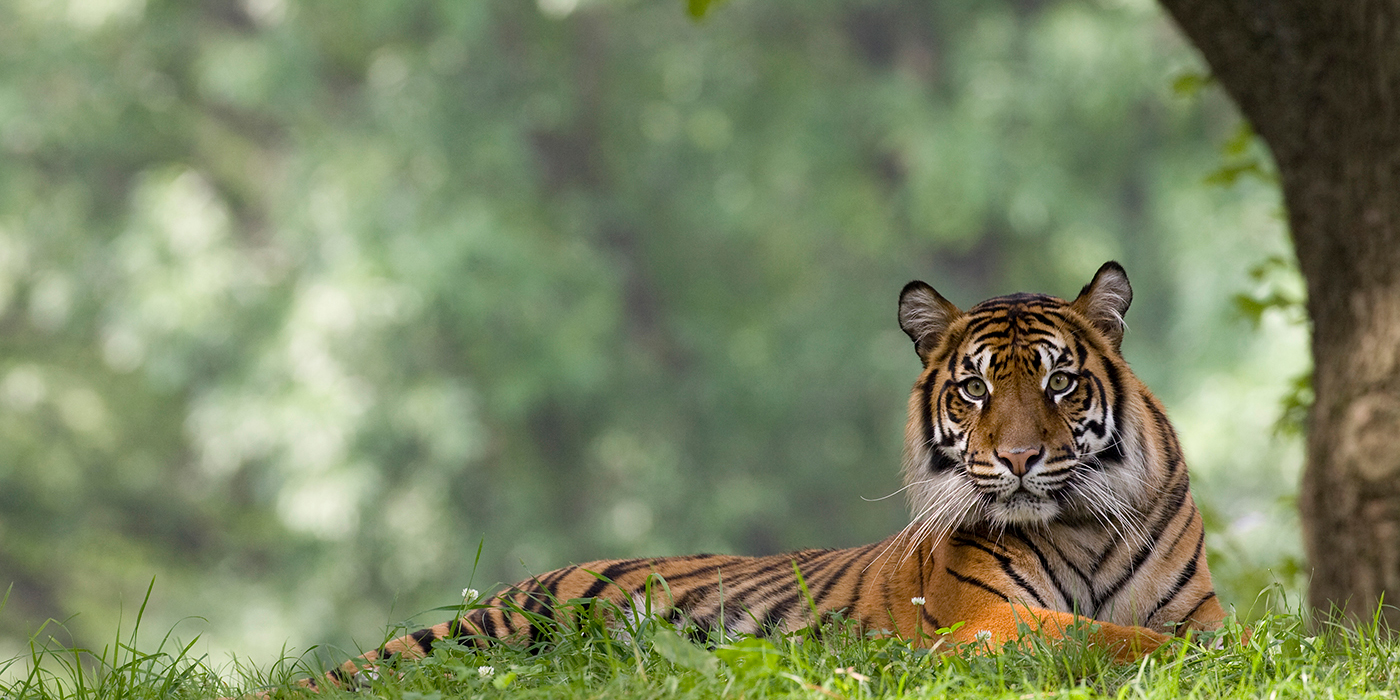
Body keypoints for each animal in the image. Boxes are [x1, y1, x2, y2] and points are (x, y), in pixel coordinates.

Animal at [309, 260, 1226, 686]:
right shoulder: (987, 620)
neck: (1079, 522)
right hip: (492, 635)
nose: (1020, 459)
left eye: (1058, 382)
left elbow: (1184, 632)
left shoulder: (1194, 606)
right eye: (974, 389)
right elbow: (1104, 635)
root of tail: (513, 585)